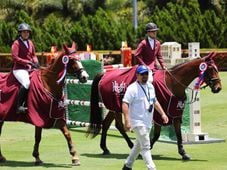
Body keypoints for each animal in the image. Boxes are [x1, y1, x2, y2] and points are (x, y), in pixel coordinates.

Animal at [87, 51, 222, 161]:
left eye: (216, 68)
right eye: (211, 69)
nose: (218, 88)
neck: (172, 83)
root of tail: (104, 74)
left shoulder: (175, 113)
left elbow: (178, 134)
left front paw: (183, 153)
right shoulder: (158, 115)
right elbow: (156, 135)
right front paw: (144, 150)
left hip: (114, 107)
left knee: (106, 124)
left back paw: (105, 148)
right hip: (117, 107)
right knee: (119, 126)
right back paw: (129, 145)